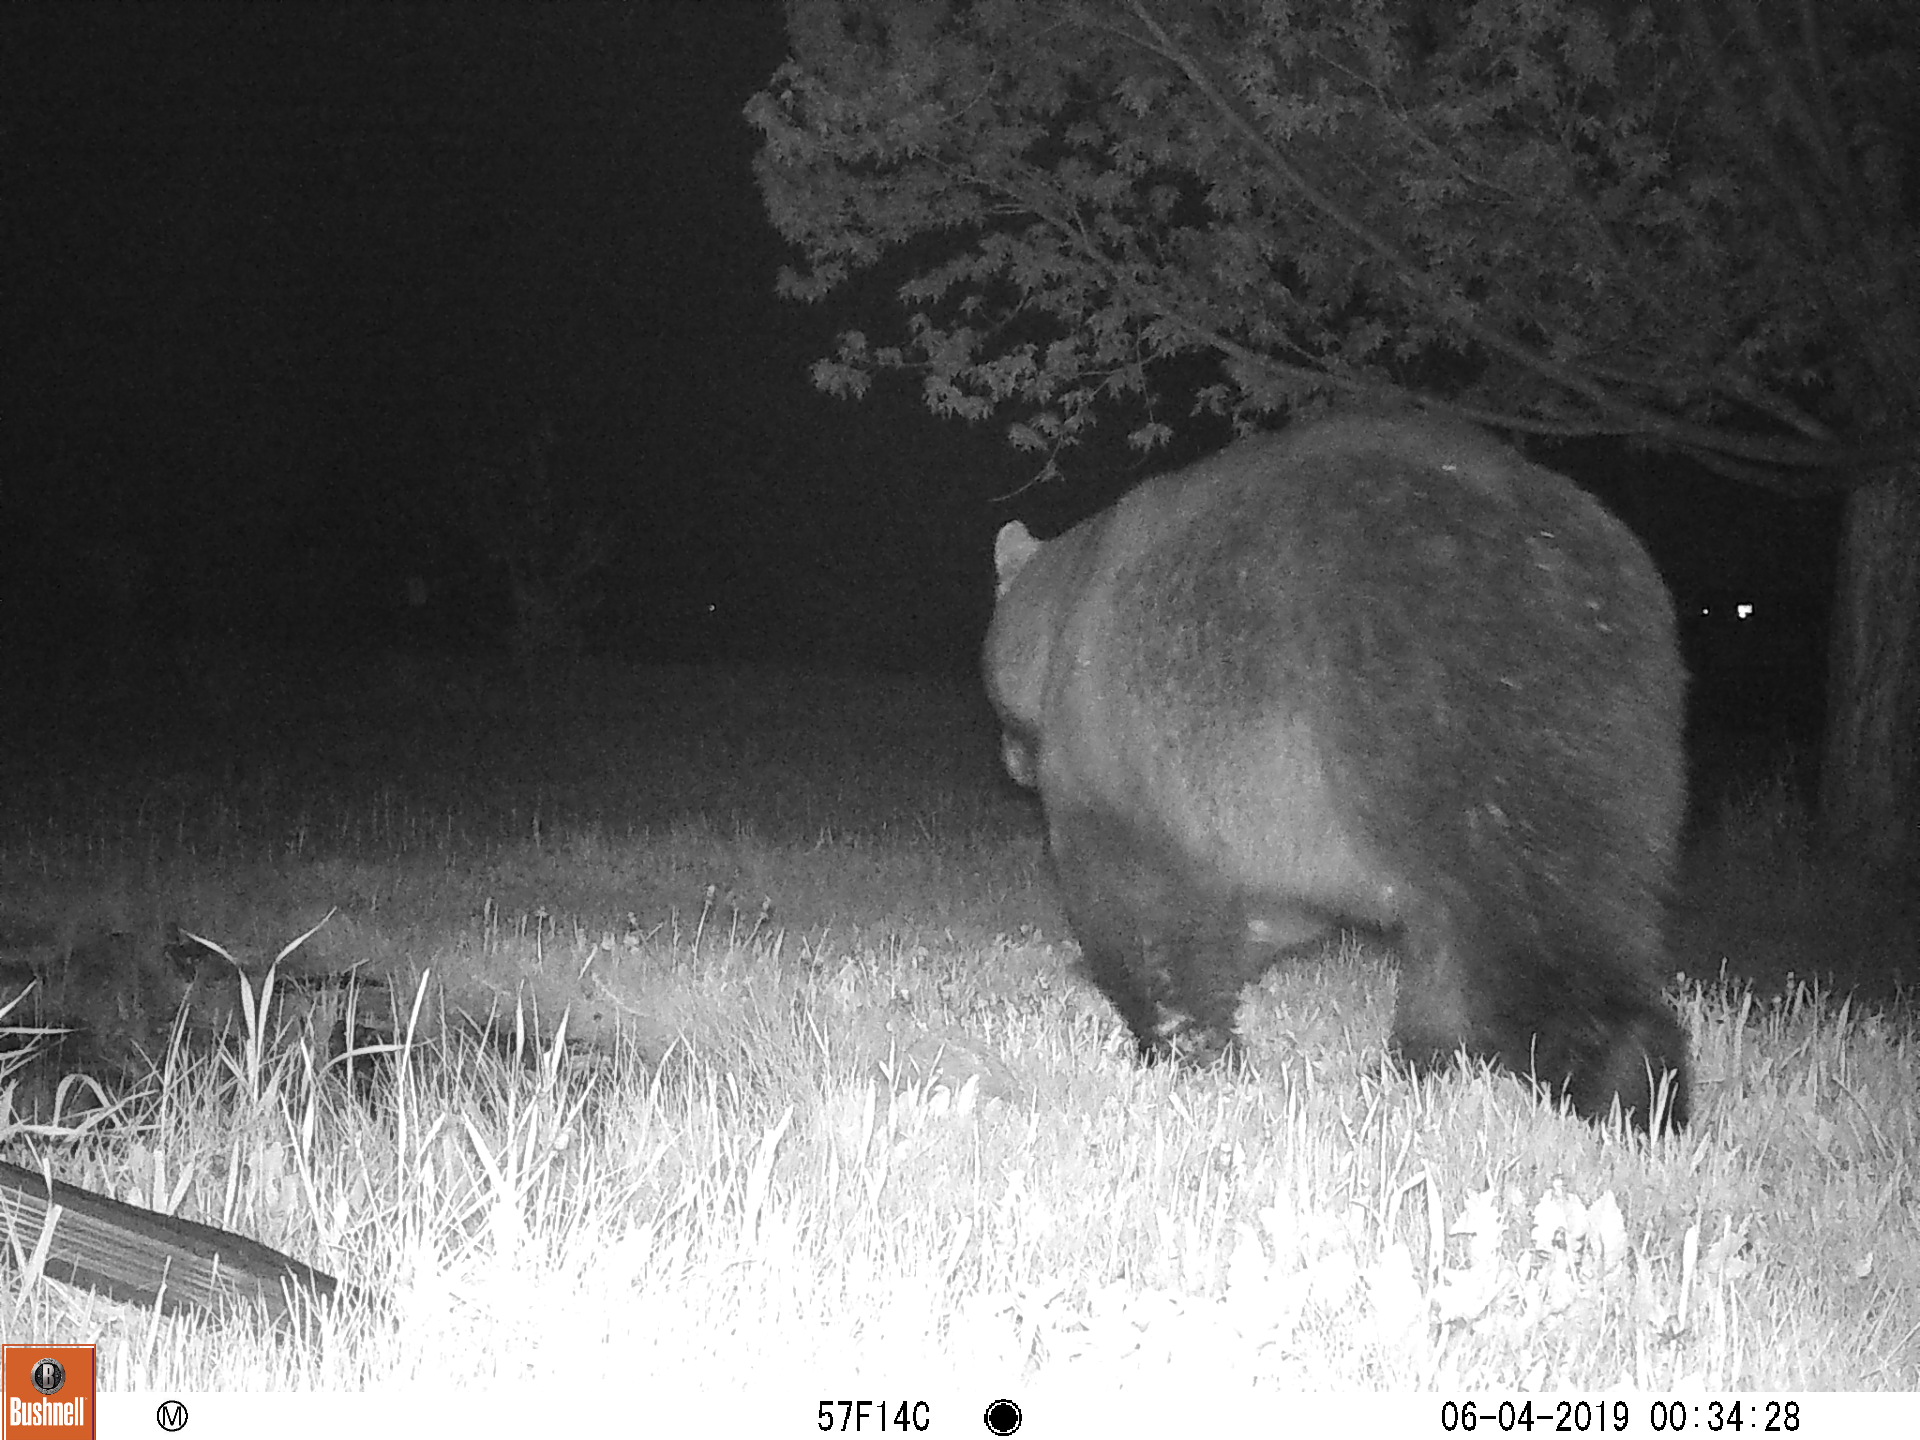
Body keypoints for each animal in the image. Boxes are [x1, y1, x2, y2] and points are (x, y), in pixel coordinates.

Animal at [984, 412, 1690, 1132]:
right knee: (1469, 938)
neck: (1062, 616)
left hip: (1456, 718)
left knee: (1519, 925)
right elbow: (1275, 904)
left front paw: (1179, 1042)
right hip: (1619, 749)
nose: (1011, 762)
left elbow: (1134, 898)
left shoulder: (1116, 748)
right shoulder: (1268, 798)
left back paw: (1620, 1088)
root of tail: (1582, 578)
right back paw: (1418, 1066)